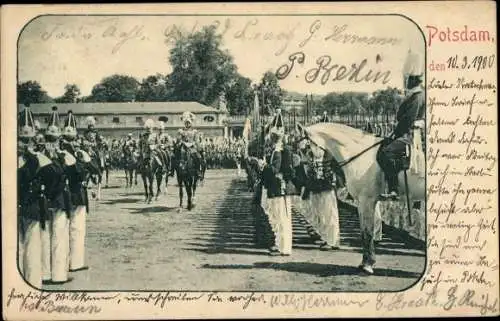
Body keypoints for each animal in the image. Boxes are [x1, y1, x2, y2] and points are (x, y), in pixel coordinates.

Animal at [296, 122, 426, 272]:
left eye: (305, 149)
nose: (310, 176)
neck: (359, 154)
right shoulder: (361, 202)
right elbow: (364, 232)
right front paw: (365, 262)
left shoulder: (367, 201)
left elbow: (368, 232)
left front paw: (368, 265)